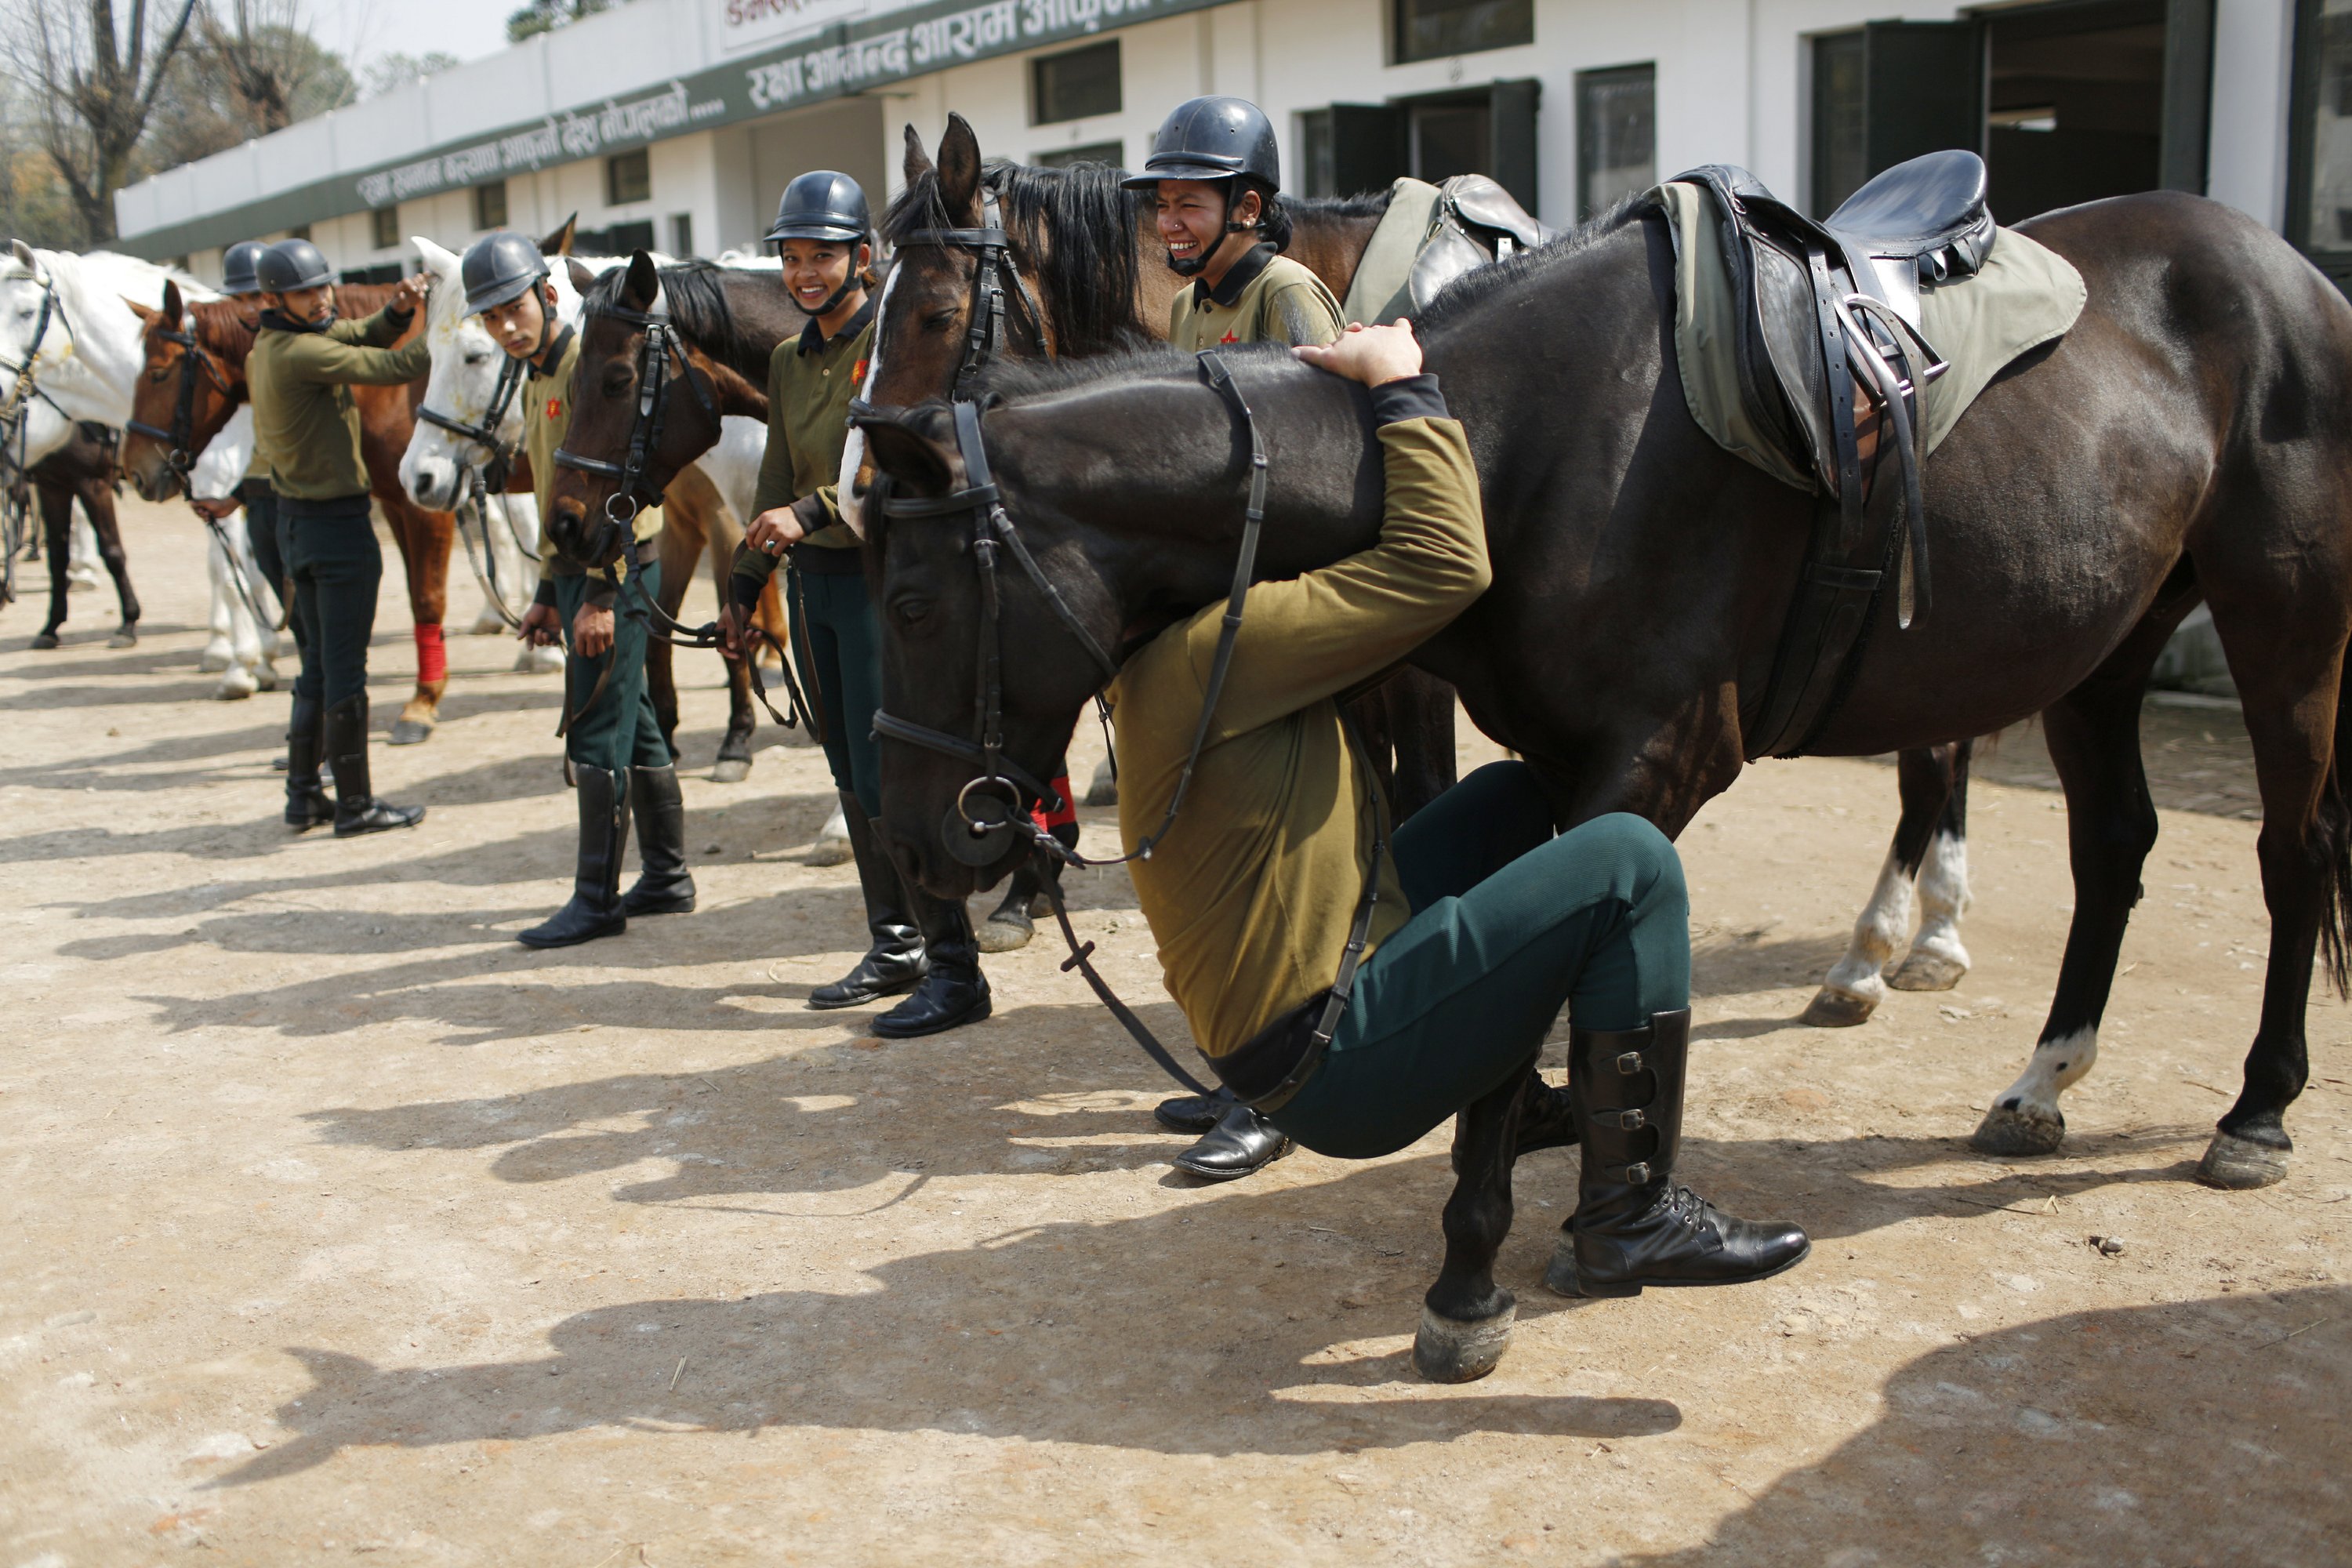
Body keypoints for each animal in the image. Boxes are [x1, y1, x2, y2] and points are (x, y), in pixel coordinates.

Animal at [400, 233, 787, 782]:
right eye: (430, 352)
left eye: (475, 356)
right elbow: (662, 632)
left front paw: (735, 743)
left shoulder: (729, 523)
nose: (418, 476)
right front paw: (666, 733)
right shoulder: (677, 528)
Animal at [860, 117, 1981, 1006]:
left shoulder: (1408, 667)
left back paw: (1902, 942)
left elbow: (1421, 795)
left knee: (1941, 751)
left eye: (935, 312)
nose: (863, 477)